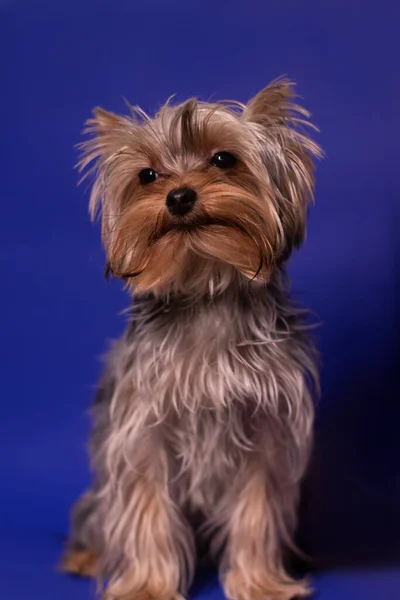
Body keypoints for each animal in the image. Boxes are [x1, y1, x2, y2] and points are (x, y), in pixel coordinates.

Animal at [62, 79, 324, 600]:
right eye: (147, 175)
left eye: (223, 159)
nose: (179, 196)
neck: (205, 284)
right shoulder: (143, 426)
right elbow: (146, 506)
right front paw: (145, 586)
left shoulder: (266, 426)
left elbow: (257, 507)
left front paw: (260, 582)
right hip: (95, 499)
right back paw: (85, 555)